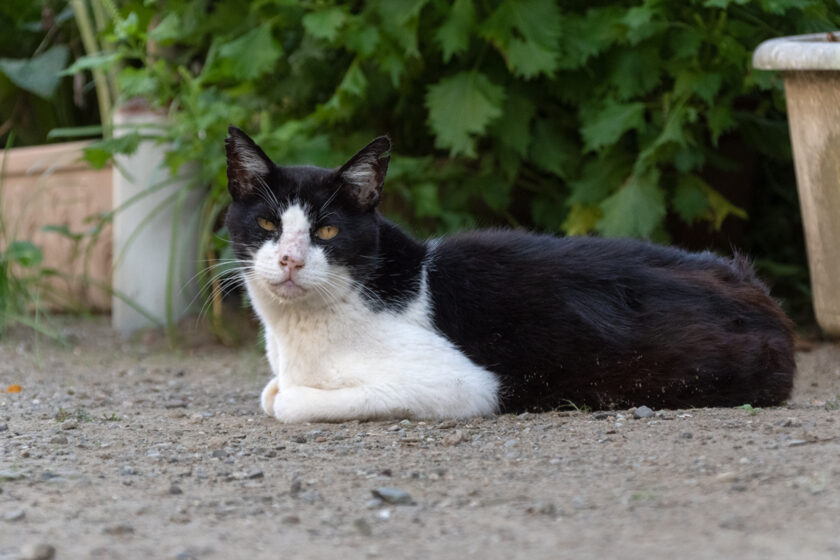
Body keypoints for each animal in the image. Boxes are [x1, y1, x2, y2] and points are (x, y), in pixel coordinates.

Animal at [223, 128, 796, 424]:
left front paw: (290, 395)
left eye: (327, 230)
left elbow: (286, 400)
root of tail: (756, 290)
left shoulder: (463, 385)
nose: (290, 259)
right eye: (269, 224)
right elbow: (271, 390)